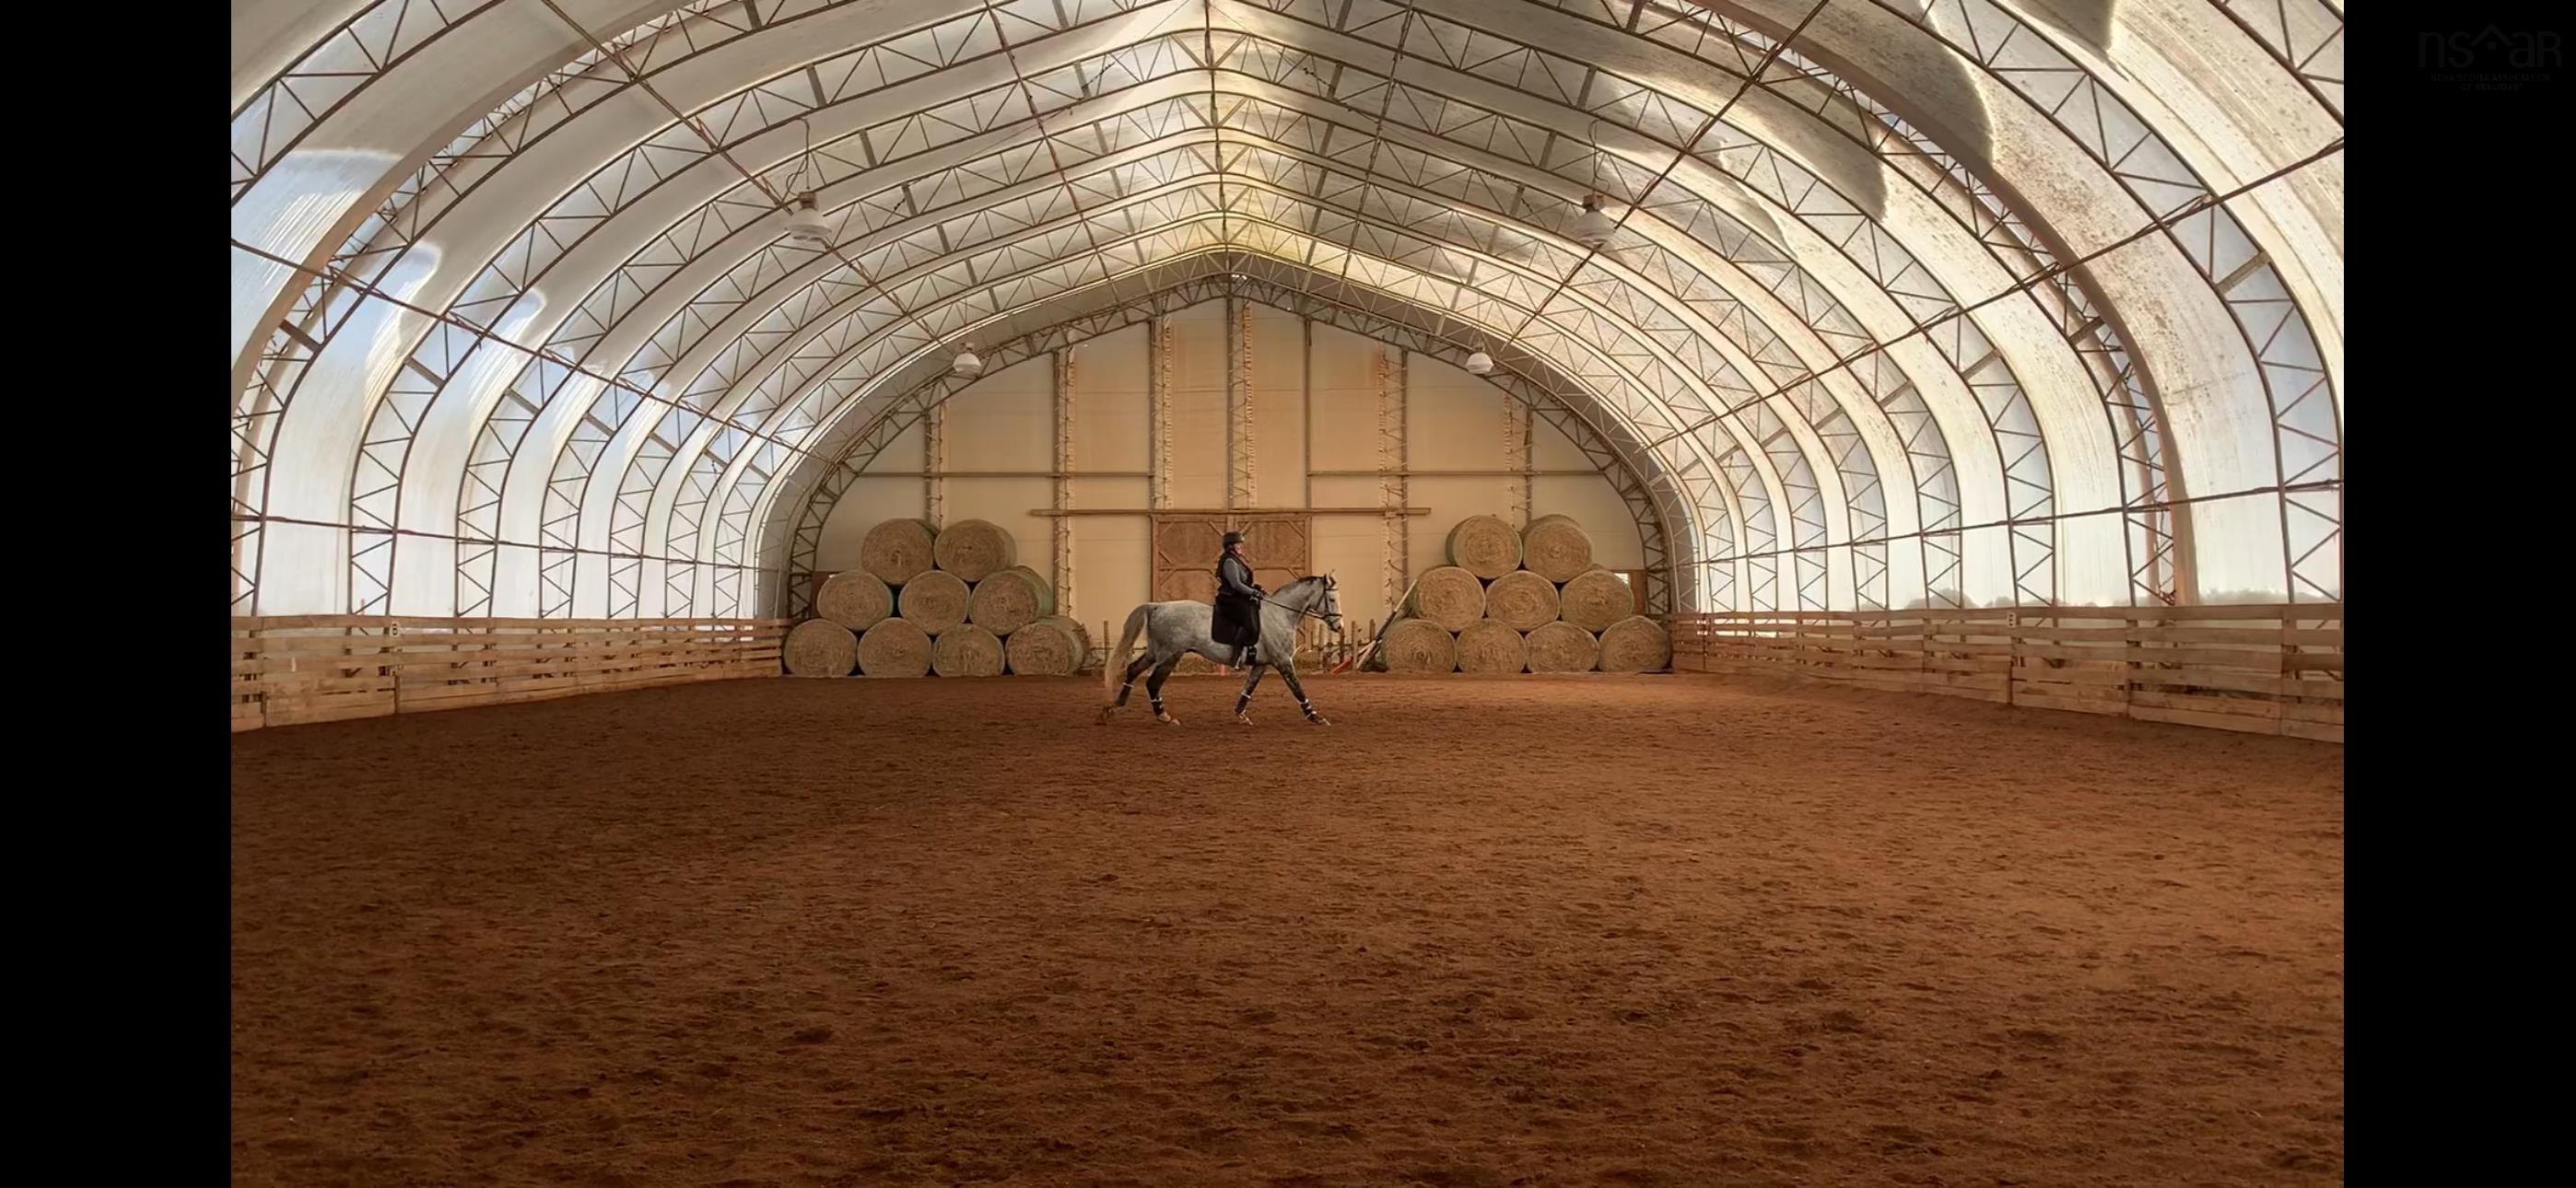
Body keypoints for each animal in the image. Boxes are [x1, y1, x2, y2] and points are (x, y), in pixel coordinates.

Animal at [1097, 574, 1343, 726]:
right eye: (1331, 598)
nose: (1339, 626)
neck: (1280, 614)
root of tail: (1157, 606)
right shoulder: (1283, 661)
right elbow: (1297, 689)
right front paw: (1315, 717)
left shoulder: (1262, 664)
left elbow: (1248, 689)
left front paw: (1240, 715)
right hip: (1170, 655)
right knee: (1153, 683)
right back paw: (1164, 716)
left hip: (1155, 653)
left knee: (1132, 670)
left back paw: (1112, 708)